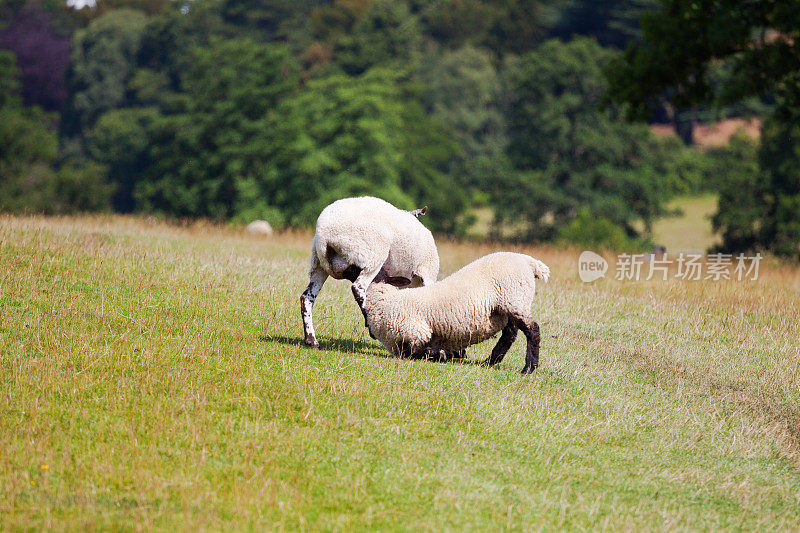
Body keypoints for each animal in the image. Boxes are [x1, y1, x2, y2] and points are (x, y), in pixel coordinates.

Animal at [298, 197, 438, 348]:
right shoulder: (427, 275)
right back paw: (371, 327)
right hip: (372, 257)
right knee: (358, 288)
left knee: (307, 297)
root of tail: (324, 235)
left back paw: (311, 340)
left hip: (319, 265)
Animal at [362, 250, 552, 372]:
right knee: (510, 335)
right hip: (505, 308)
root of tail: (528, 262)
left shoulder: (416, 332)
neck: (386, 301)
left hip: (515, 300)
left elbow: (414, 353)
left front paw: (439, 354)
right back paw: (490, 362)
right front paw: (448, 354)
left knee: (533, 330)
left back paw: (529, 368)